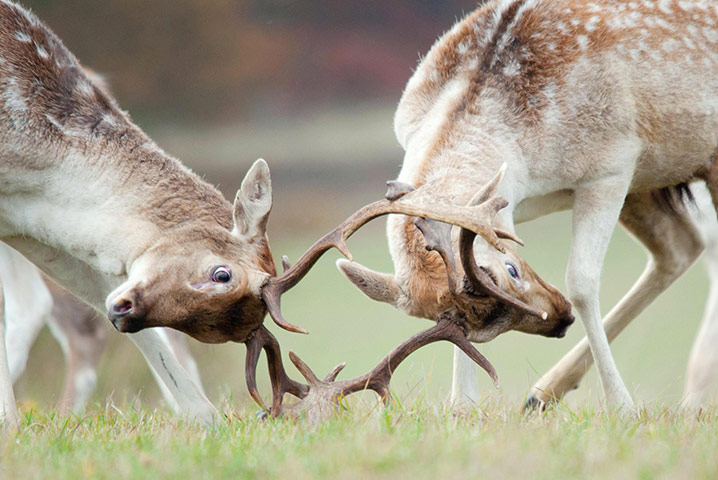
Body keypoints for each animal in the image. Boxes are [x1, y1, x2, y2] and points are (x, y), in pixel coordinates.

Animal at [326, 0, 718, 413]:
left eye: (511, 269)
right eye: (467, 327)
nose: (560, 320)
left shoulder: (612, 166)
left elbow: (581, 282)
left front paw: (622, 406)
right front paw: (463, 405)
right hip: (654, 179)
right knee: (682, 246)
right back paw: (548, 392)